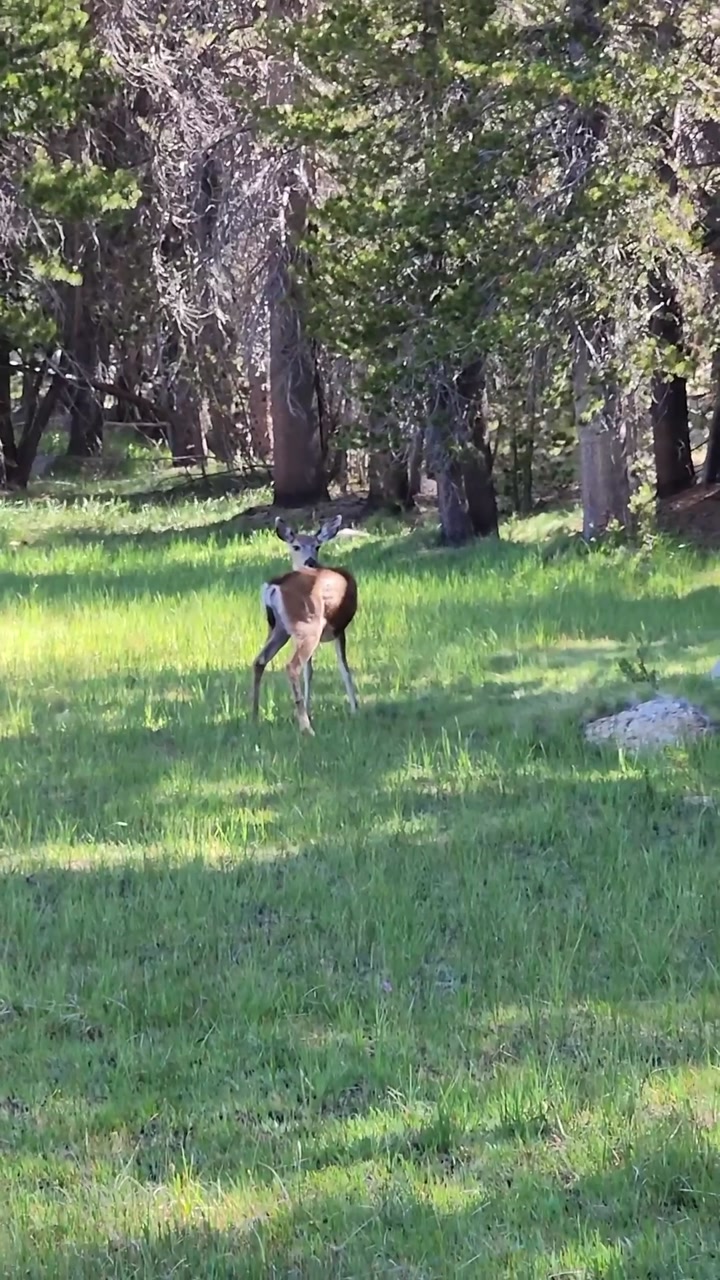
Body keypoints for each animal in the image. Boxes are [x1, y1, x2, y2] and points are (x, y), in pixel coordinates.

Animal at [251, 514, 358, 734]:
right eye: (296, 546)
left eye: (317, 546)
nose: (310, 561)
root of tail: (275, 586)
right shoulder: (339, 629)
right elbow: (344, 668)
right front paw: (354, 709)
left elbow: (310, 672)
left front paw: (309, 709)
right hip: (309, 624)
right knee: (292, 666)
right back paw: (307, 729)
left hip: (280, 628)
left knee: (259, 661)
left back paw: (255, 717)